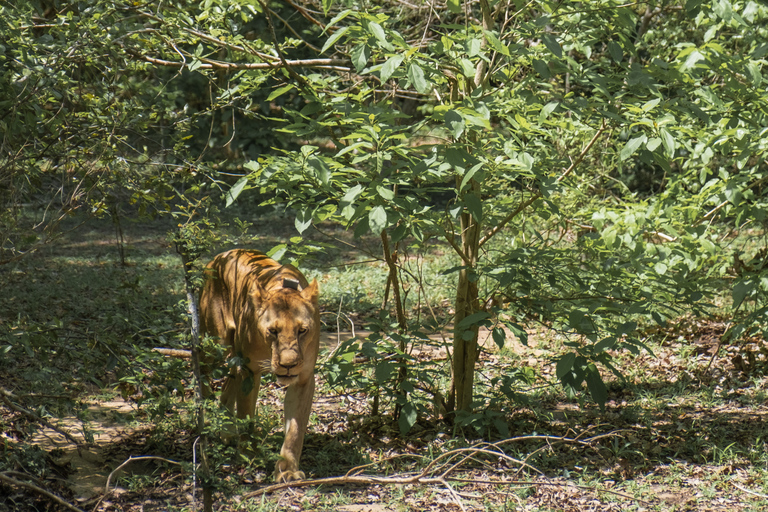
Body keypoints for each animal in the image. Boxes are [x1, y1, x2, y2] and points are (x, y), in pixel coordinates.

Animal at [200, 250, 320, 482]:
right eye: (273, 331)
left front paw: (288, 470)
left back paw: (227, 431)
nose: (289, 365)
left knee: (228, 385)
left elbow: (295, 429)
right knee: (202, 371)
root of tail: (219, 256)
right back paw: (204, 417)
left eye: (302, 331)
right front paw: (249, 455)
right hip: (214, 344)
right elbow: (246, 414)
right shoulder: (250, 370)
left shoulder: (304, 378)